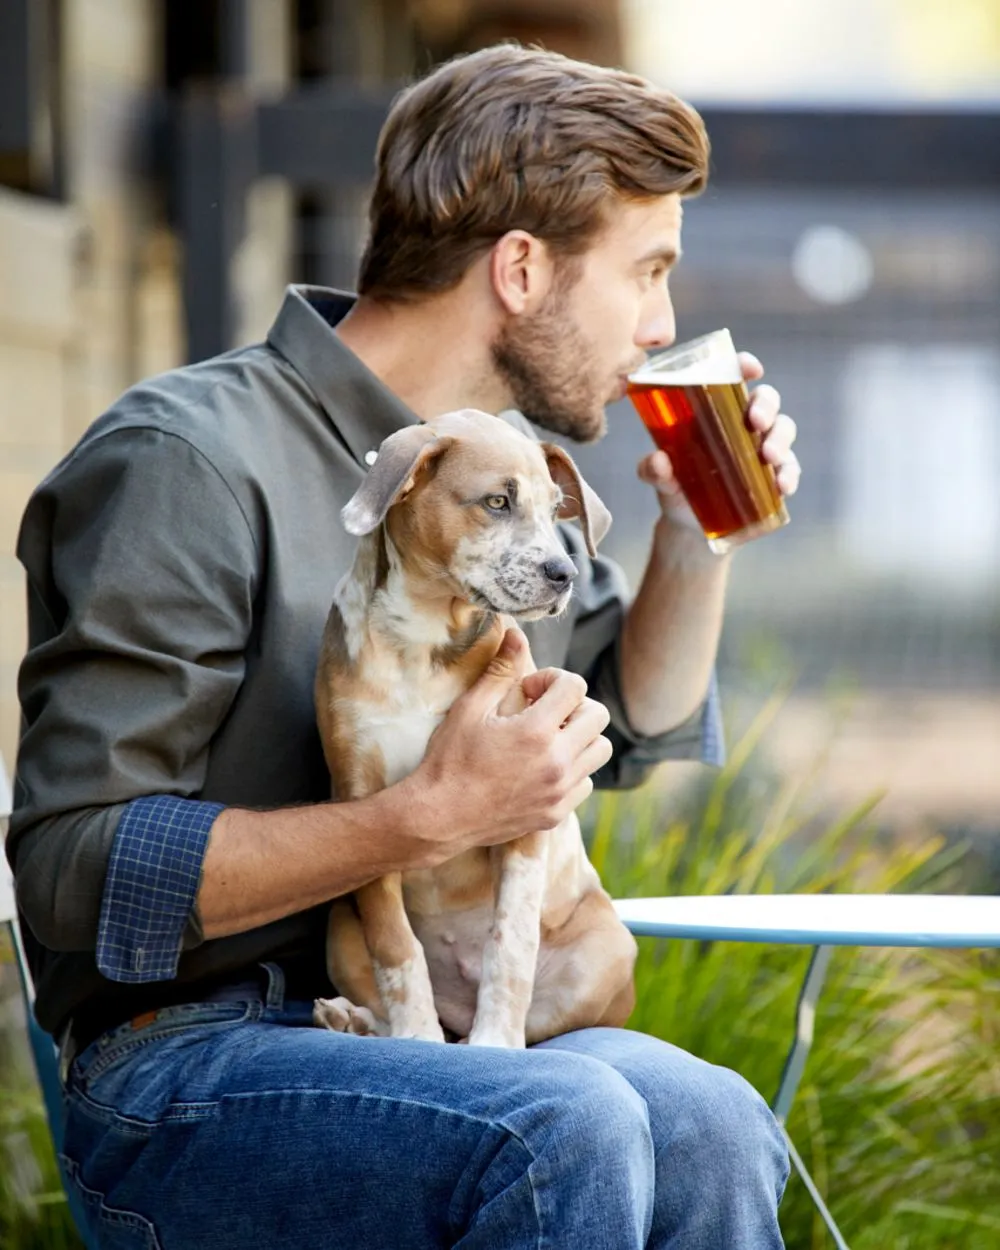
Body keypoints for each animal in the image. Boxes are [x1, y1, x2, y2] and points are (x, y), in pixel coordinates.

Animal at [312, 407, 637, 1045]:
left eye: (556, 509)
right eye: (497, 502)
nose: (565, 573)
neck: (422, 640)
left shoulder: (528, 812)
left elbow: (510, 944)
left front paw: (496, 1045)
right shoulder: (362, 797)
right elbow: (396, 945)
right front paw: (416, 1035)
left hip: (608, 948)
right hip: (339, 921)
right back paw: (357, 1021)